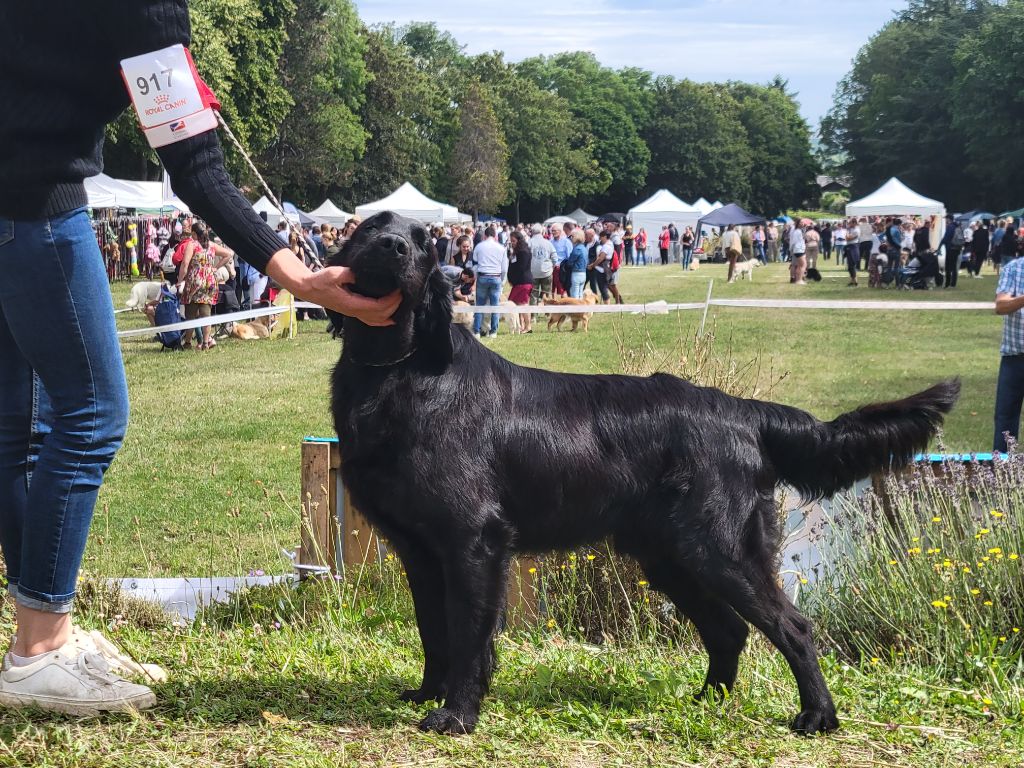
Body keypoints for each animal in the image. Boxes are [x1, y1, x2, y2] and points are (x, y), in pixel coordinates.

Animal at [325, 210, 958, 741]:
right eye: (375, 226)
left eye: (423, 241)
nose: (393, 246)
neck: (398, 369)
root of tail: (743, 411)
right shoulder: (419, 548)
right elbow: (433, 629)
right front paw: (426, 694)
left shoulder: (474, 540)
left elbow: (467, 635)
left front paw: (456, 714)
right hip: (670, 554)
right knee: (728, 631)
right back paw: (706, 702)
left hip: (718, 548)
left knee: (794, 627)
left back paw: (817, 716)